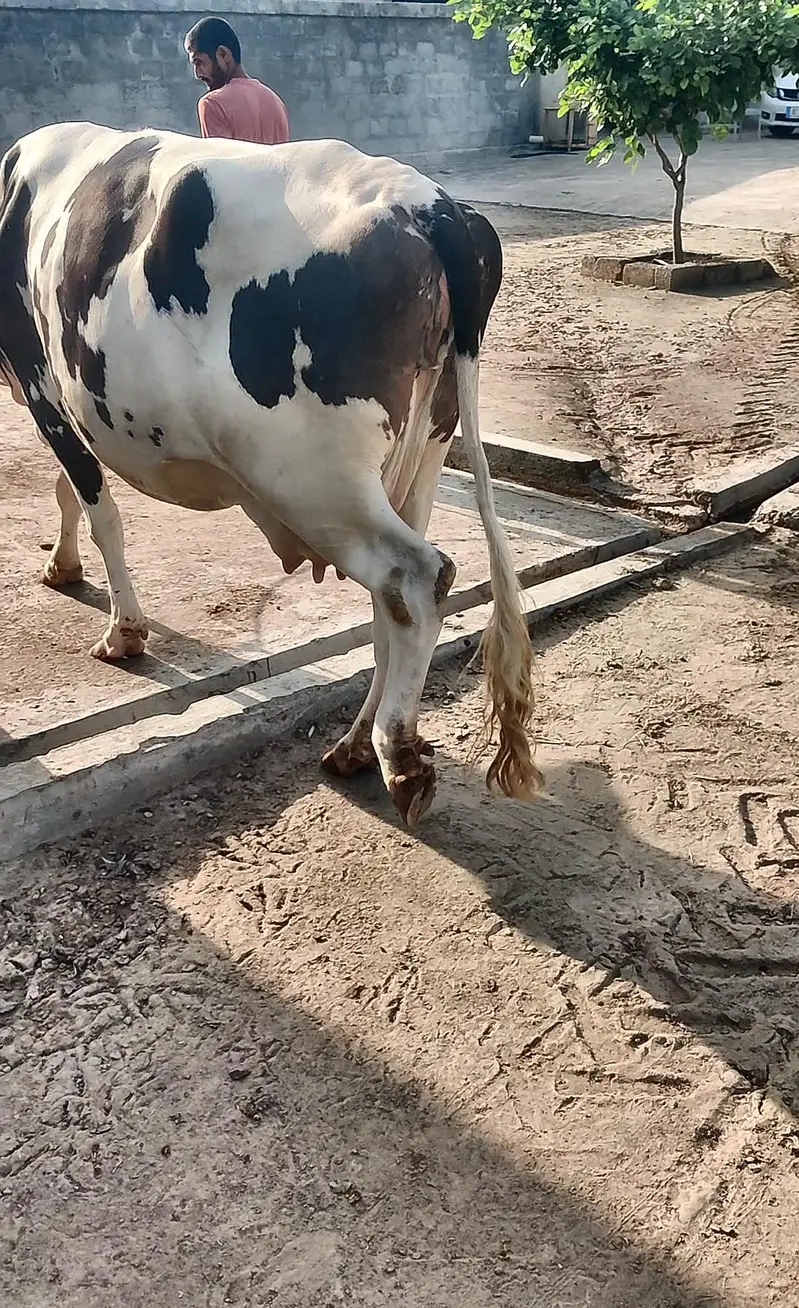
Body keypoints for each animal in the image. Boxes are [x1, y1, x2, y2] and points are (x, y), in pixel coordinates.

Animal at [0, 123, 543, 824]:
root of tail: (432, 205)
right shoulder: (54, 395)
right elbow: (69, 490)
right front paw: (61, 567)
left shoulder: (42, 383)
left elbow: (100, 512)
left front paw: (123, 633)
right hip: (422, 449)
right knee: (391, 606)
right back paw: (352, 748)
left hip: (311, 475)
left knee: (417, 578)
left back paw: (398, 757)